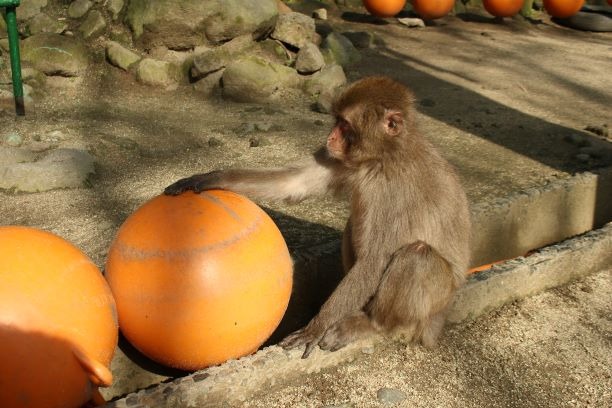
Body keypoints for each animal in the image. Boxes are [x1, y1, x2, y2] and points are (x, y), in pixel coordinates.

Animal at [165, 75, 470, 356]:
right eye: (336, 122)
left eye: (344, 125)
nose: (330, 138)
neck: (380, 158)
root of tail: (439, 321)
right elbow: (294, 183)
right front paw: (209, 179)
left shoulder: (395, 191)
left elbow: (376, 259)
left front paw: (317, 326)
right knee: (354, 226)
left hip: (437, 299)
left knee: (417, 255)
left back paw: (372, 324)